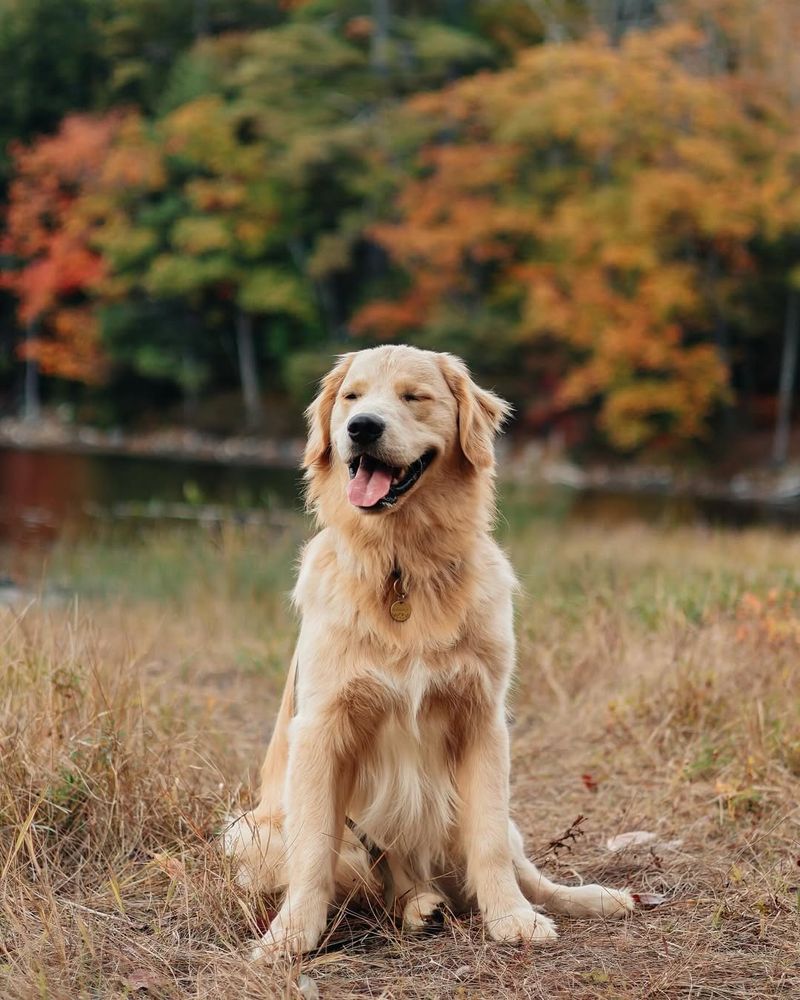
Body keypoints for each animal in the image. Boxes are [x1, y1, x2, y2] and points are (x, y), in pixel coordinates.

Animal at [223, 346, 632, 960]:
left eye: (414, 397)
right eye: (351, 397)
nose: (361, 428)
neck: (402, 566)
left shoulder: (483, 719)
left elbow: (489, 841)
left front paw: (512, 917)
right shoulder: (322, 727)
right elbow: (314, 851)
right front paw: (290, 935)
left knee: (522, 867)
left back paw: (590, 898)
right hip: (252, 831)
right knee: (377, 875)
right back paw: (419, 905)